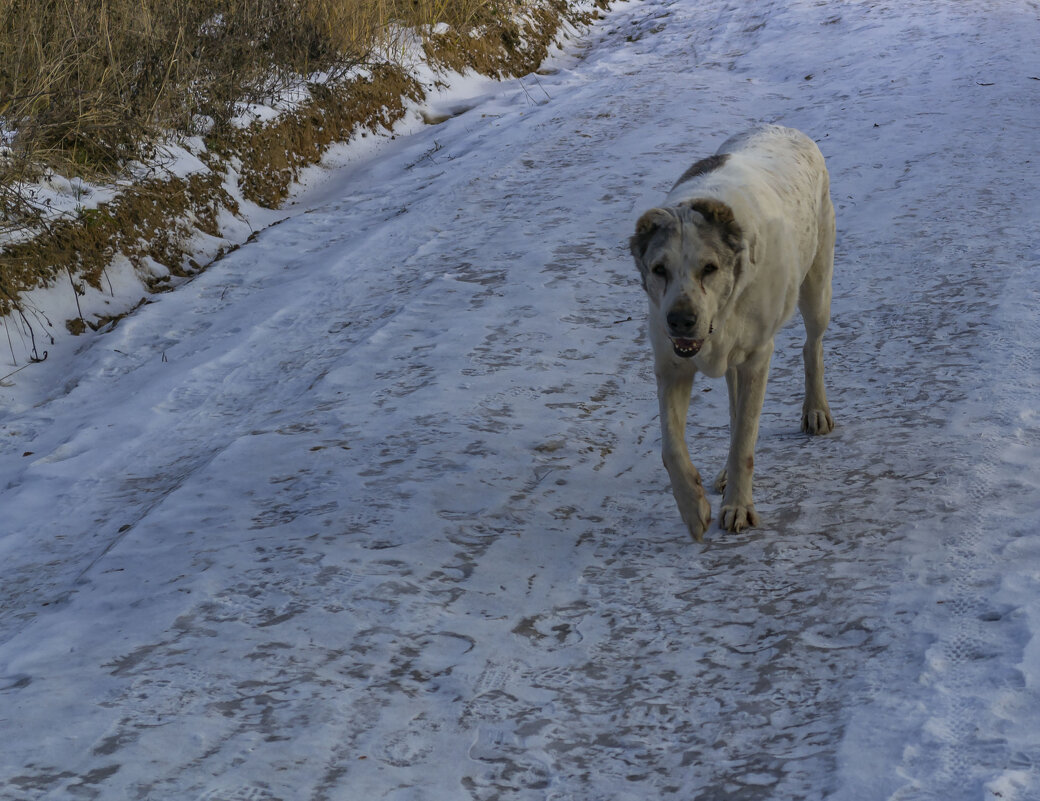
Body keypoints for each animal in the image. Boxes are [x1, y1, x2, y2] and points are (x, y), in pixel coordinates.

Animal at [624, 123, 836, 536]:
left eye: (709, 268)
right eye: (659, 269)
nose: (680, 320)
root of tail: (784, 127)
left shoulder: (757, 358)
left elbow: (744, 442)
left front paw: (738, 506)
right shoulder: (671, 366)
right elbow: (671, 447)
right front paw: (693, 508)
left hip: (817, 288)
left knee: (813, 345)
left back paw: (816, 410)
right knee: (736, 409)